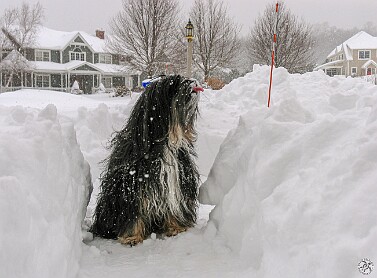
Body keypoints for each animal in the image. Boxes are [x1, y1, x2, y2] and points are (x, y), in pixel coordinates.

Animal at [90, 74, 203, 245]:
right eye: (173, 84)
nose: (193, 82)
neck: (164, 143)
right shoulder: (132, 187)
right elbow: (134, 213)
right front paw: (131, 236)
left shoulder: (177, 182)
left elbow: (174, 204)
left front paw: (176, 227)